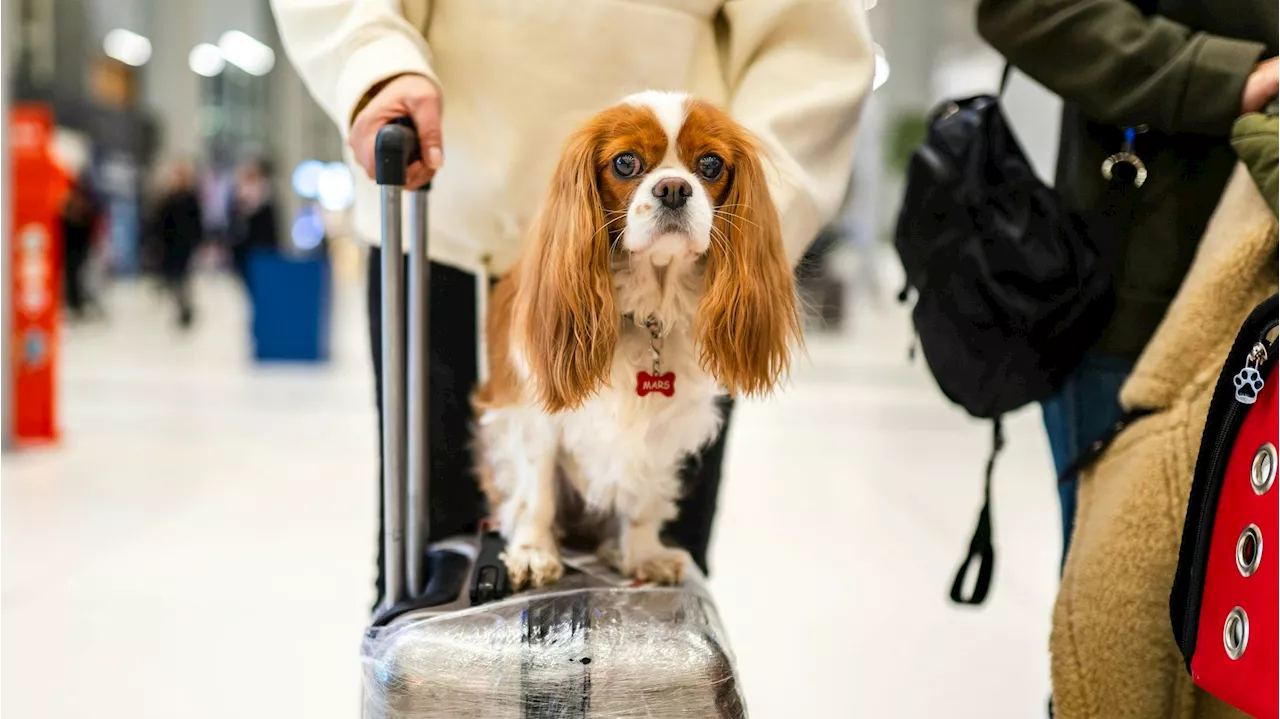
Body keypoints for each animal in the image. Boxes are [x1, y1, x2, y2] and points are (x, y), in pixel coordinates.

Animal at [471, 89, 798, 585]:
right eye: (626, 163)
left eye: (710, 165)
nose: (674, 188)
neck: (649, 308)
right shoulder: (531, 413)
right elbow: (536, 492)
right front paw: (532, 552)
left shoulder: (662, 427)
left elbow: (642, 497)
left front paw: (642, 555)